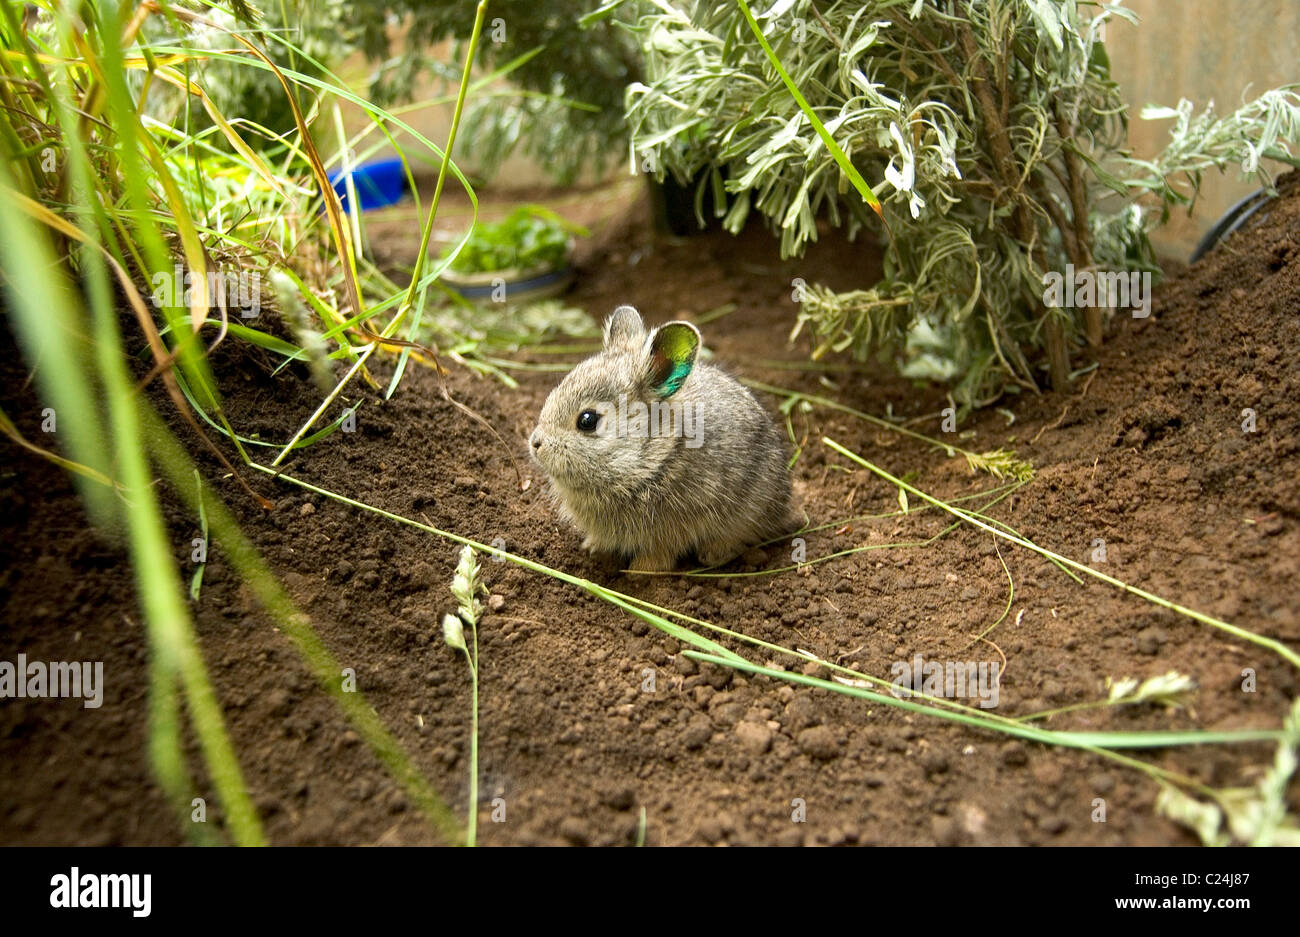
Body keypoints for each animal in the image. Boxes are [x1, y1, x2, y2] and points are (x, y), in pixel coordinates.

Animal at [529, 305, 796, 571]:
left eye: (587, 420)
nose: (535, 443)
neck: (652, 459)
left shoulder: (672, 529)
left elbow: (660, 553)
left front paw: (640, 571)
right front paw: (593, 548)